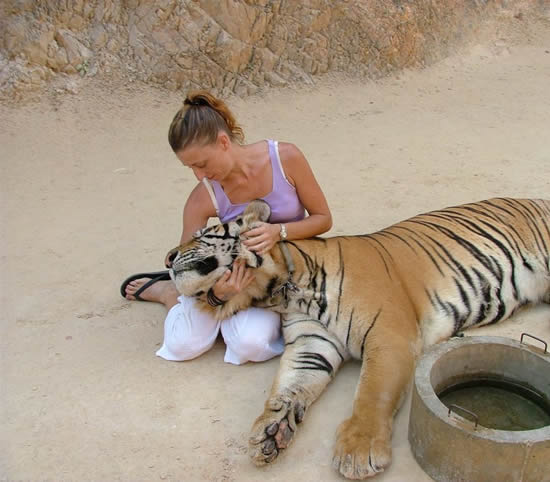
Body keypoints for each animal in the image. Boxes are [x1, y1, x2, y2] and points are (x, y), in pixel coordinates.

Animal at [168, 198, 550, 480]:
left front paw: (358, 450)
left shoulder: (390, 334)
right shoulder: (312, 344)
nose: (168, 257)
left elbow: (372, 391)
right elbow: (288, 387)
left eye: (204, 232)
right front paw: (271, 431)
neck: (282, 287)